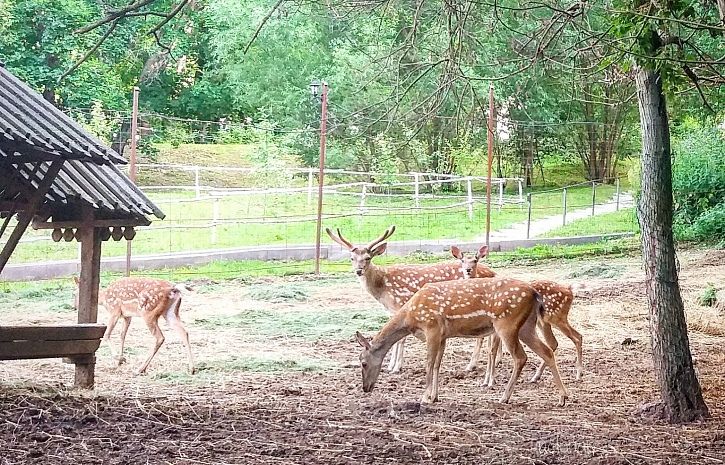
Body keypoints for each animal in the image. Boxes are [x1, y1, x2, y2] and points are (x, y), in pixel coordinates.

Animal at [326, 226, 492, 374]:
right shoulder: (391, 310)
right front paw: (390, 366)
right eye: (351, 258)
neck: (382, 288)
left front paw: (396, 367)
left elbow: (401, 339)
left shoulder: (401, 302)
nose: (358, 271)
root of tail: (492, 272)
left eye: (368, 258)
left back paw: (472, 365)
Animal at [354, 278, 568, 404]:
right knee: (547, 350)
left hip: (506, 323)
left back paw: (504, 397)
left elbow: (428, 364)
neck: (410, 317)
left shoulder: (432, 328)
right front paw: (434, 396)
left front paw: (424, 397)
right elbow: (437, 365)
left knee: (521, 357)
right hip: (527, 326)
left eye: (363, 362)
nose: (365, 388)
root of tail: (535, 294)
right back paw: (563, 397)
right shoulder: (443, 335)